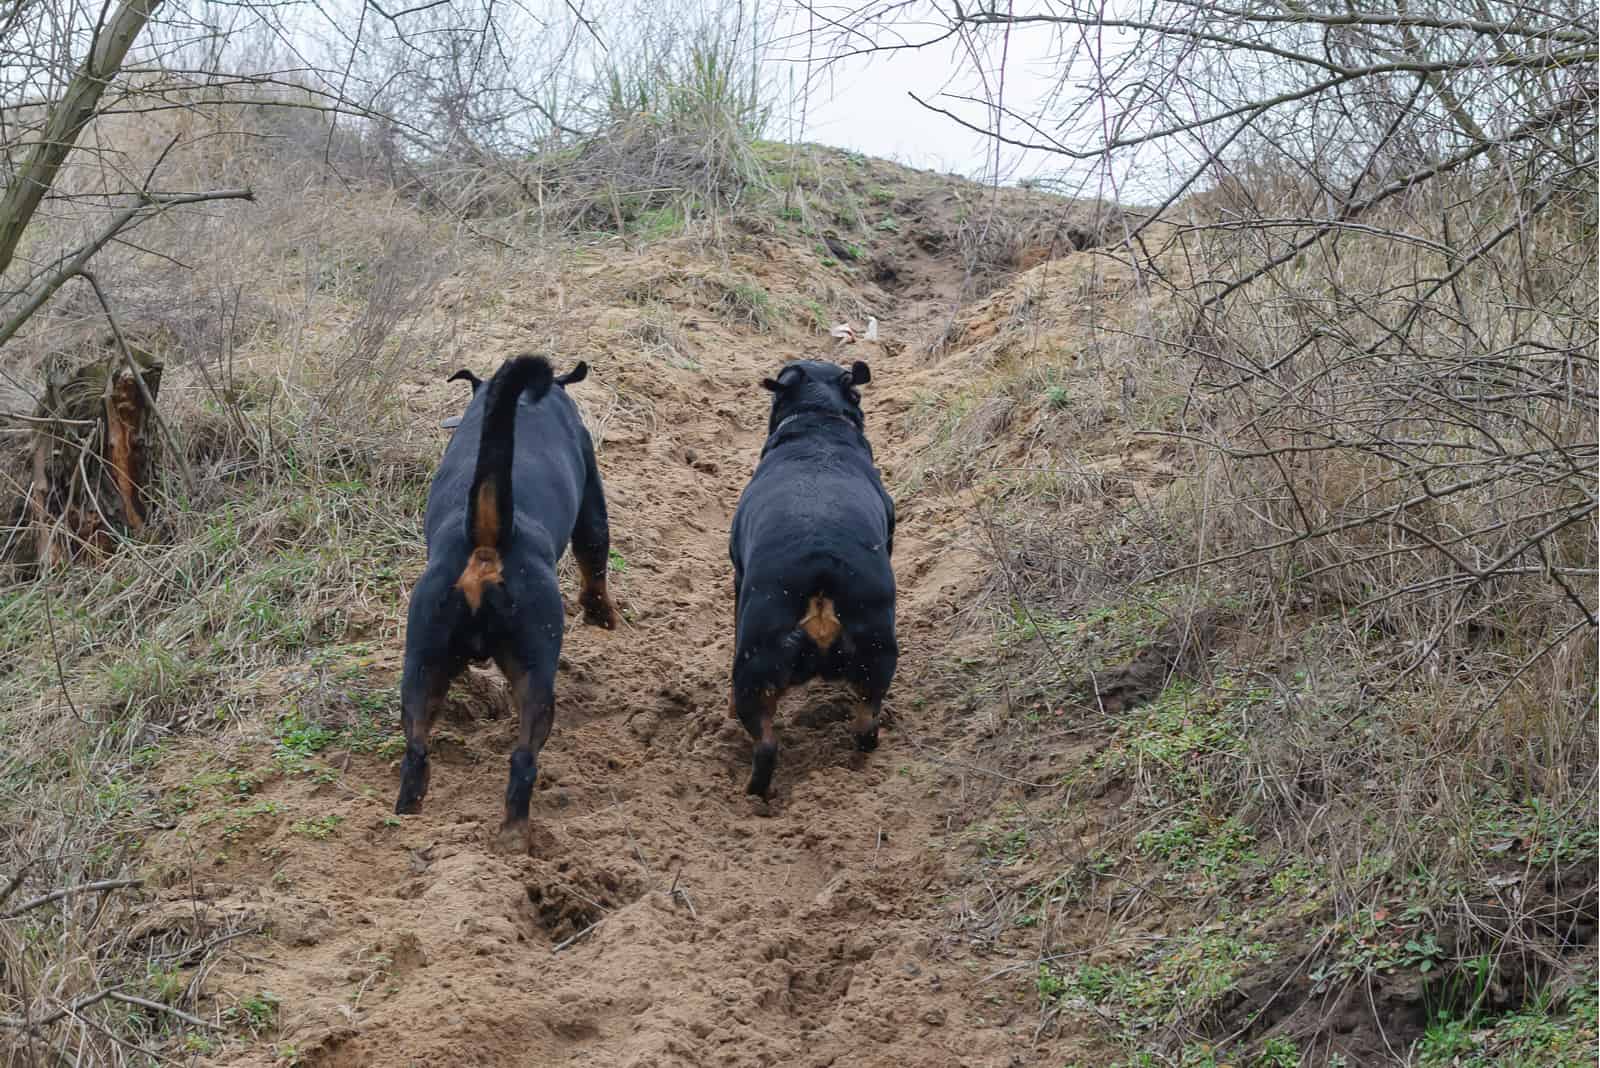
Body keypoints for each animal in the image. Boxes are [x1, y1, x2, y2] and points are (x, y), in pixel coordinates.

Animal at [395, 354, 617, 844]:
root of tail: (485, 545)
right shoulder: (593, 503)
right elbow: (595, 562)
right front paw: (601, 615)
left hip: (422, 661)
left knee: (416, 752)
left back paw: (406, 818)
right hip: (535, 670)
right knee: (523, 760)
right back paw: (515, 834)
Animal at [729, 356, 896, 793]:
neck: (818, 421)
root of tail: (822, 576)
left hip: (753, 664)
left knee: (766, 745)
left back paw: (754, 794)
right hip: (877, 652)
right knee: (866, 723)